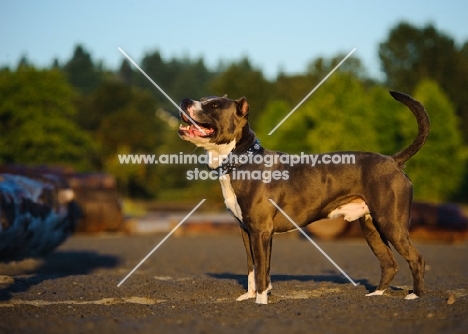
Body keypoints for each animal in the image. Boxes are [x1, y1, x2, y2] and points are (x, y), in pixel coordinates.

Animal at [177, 91, 430, 306]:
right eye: (203, 99)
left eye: (214, 105)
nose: (185, 100)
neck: (242, 160)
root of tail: (393, 160)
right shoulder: (247, 231)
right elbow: (253, 266)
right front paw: (250, 296)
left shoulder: (260, 231)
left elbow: (261, 269)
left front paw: (260, 301)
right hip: (371, 227)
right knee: (389, 263)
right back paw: (377, 294)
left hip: (391, 224)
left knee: (416, 259)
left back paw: (415, 296)